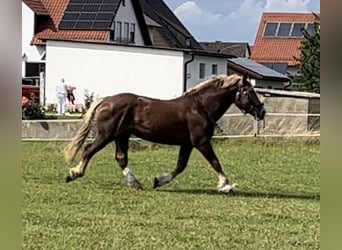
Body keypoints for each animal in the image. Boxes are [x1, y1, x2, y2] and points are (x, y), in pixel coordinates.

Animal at [65, 73, 266, 194]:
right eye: (249, 91)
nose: (262, 111)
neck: (200, 107)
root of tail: (106, 100)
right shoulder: (201, 142)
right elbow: (215, 162)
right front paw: (226, 186)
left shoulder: (187, 144)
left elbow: (180, 166)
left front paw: (158, 180)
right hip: (106, 134)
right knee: (88, 150)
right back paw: (74, 173)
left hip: (121, 136)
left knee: (120, 158)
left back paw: (135, 183)